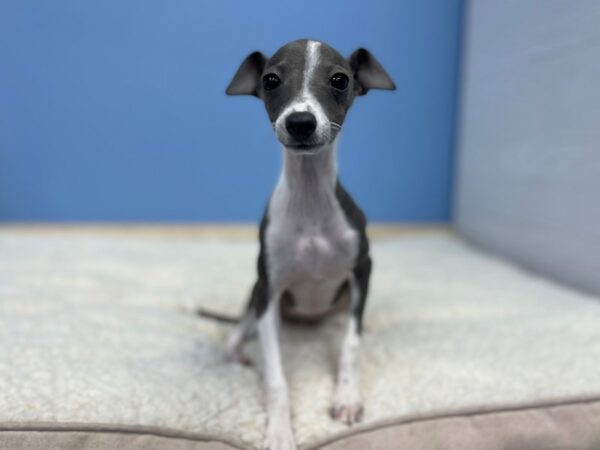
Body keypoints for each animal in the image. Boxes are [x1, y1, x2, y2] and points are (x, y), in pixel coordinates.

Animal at [211, 39, 394, 450]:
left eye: (340, 79)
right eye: (270, 80)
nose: (300, 122)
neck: (310, 202)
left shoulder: (362, 268)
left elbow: (351, 344)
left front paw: (347, 398)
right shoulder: (269, 290)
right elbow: (276, 377)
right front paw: (280, 432)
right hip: (257, 293)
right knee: (239, 328)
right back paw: (236, 349)